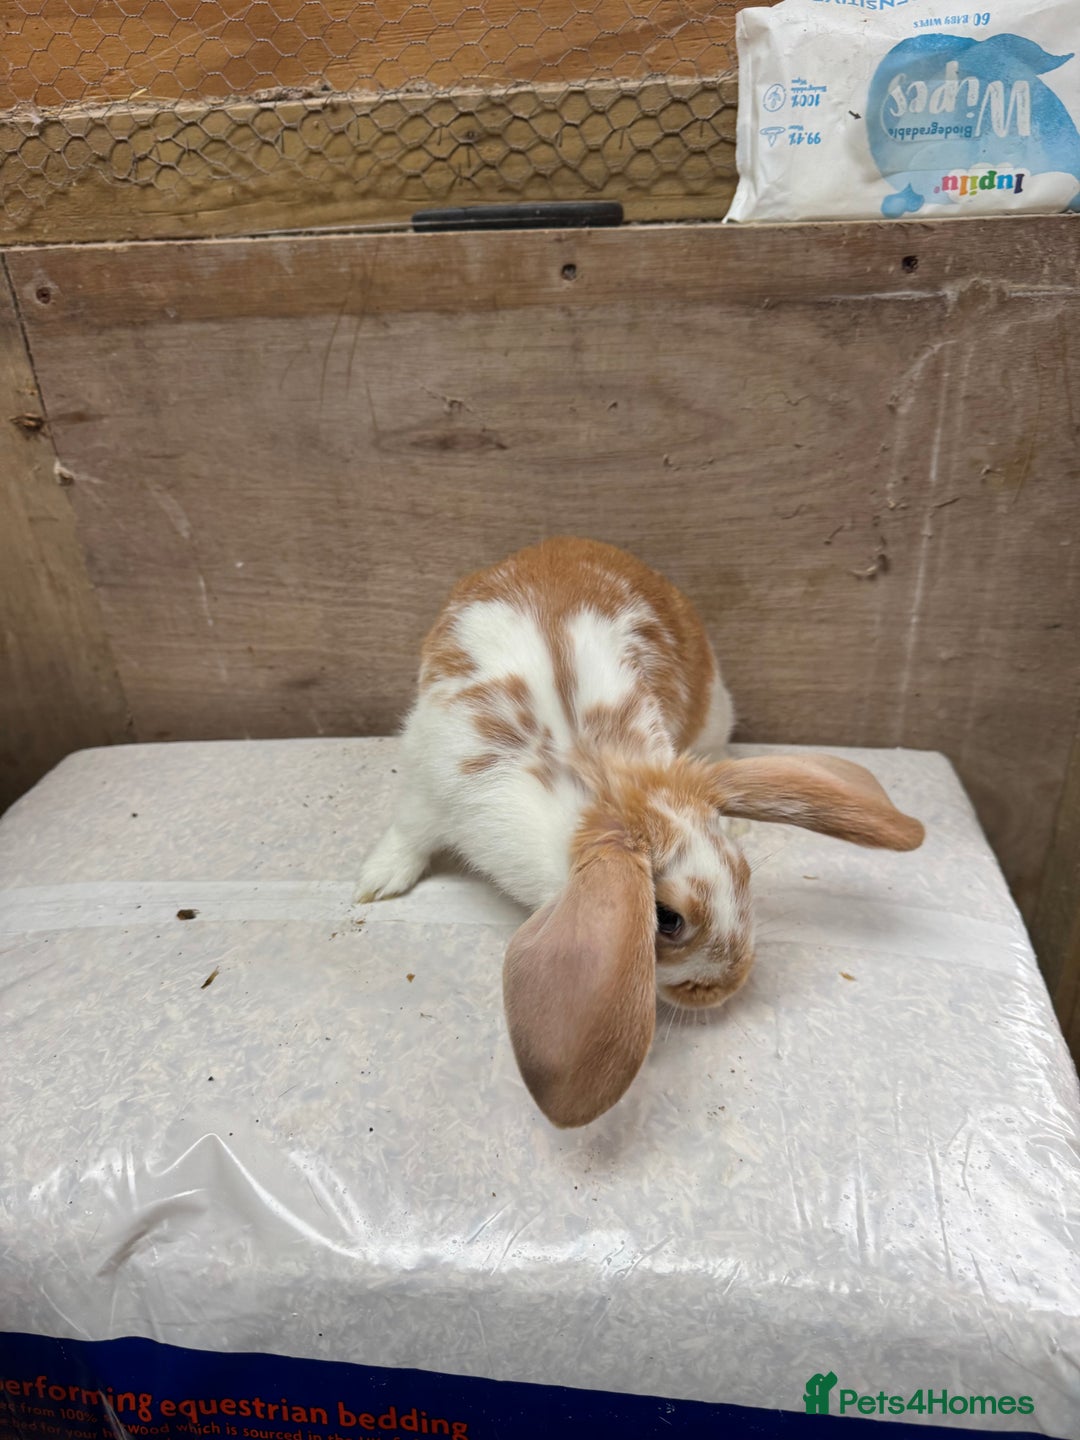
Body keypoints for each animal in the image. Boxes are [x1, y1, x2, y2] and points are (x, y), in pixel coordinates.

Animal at [357, 536, 924, 1128]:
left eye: (743, 870)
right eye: (667, 920)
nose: (730, 985)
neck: (601, 783)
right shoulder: (428, 787)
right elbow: (408, 834)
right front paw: (377, 882)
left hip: (714, 712)